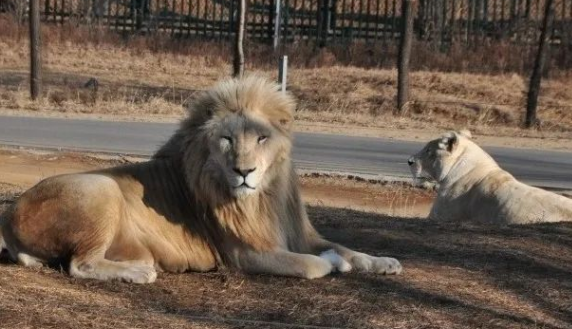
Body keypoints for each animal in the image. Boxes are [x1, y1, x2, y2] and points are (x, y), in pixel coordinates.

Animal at [0, 75, 402, 280]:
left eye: (261, 138)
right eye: (227, 139)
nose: (244, 172)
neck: (265, 197)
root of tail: (8, 217)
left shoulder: (298, 233)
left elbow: (345, 247)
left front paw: (384, 261)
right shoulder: (246, 254)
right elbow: (315, 264)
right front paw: (336, 262)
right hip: (101, 186)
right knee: (79, 265)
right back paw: (140, 271)